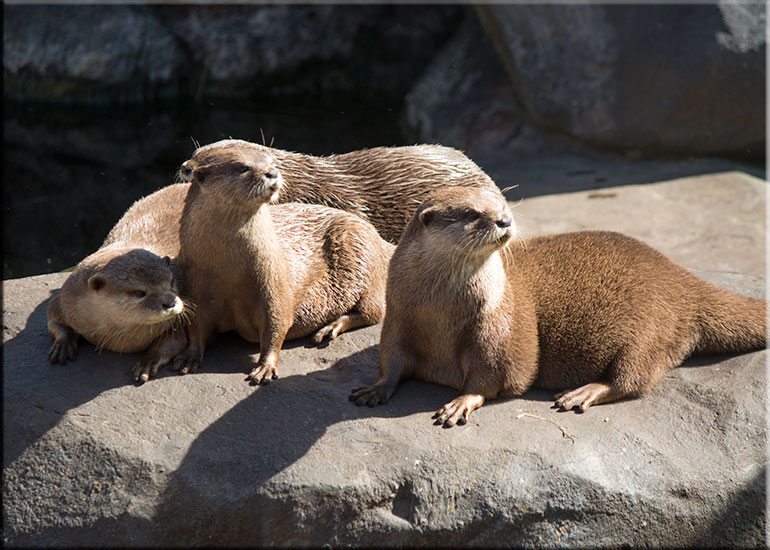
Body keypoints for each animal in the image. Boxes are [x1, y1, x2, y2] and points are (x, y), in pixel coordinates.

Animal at [47, 184, 191, 383]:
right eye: (139, 292)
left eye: (171, 281)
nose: (170, 303)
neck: (120, 340)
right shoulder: (65, 300)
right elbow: (52, 319)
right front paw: (64, 343)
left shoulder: (176, 323)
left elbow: (174, 341)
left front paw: (148, 361)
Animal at [173, 145, 394, 383]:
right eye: (243, 167)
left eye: (272, 163)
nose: (272, 173)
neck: (229, 268)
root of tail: (375, 234)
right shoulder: (194, 283)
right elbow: (195, 325)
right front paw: (189, 357)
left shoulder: (273, 279)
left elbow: (276, 323)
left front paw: (265, 367)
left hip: (362, 257)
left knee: (374, 311)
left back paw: (330, 327)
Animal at [349, 187, 766, 427]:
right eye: (471, 214)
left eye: (502, 203)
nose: (504, 220)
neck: (440, 311)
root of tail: (683, 279)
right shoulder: (398, 315)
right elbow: (392, 359)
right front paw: (375, 388)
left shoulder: (498, 324)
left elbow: (497, 372)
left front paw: (461, 402)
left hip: (651, 327)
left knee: (633, 378)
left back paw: (582, 393)